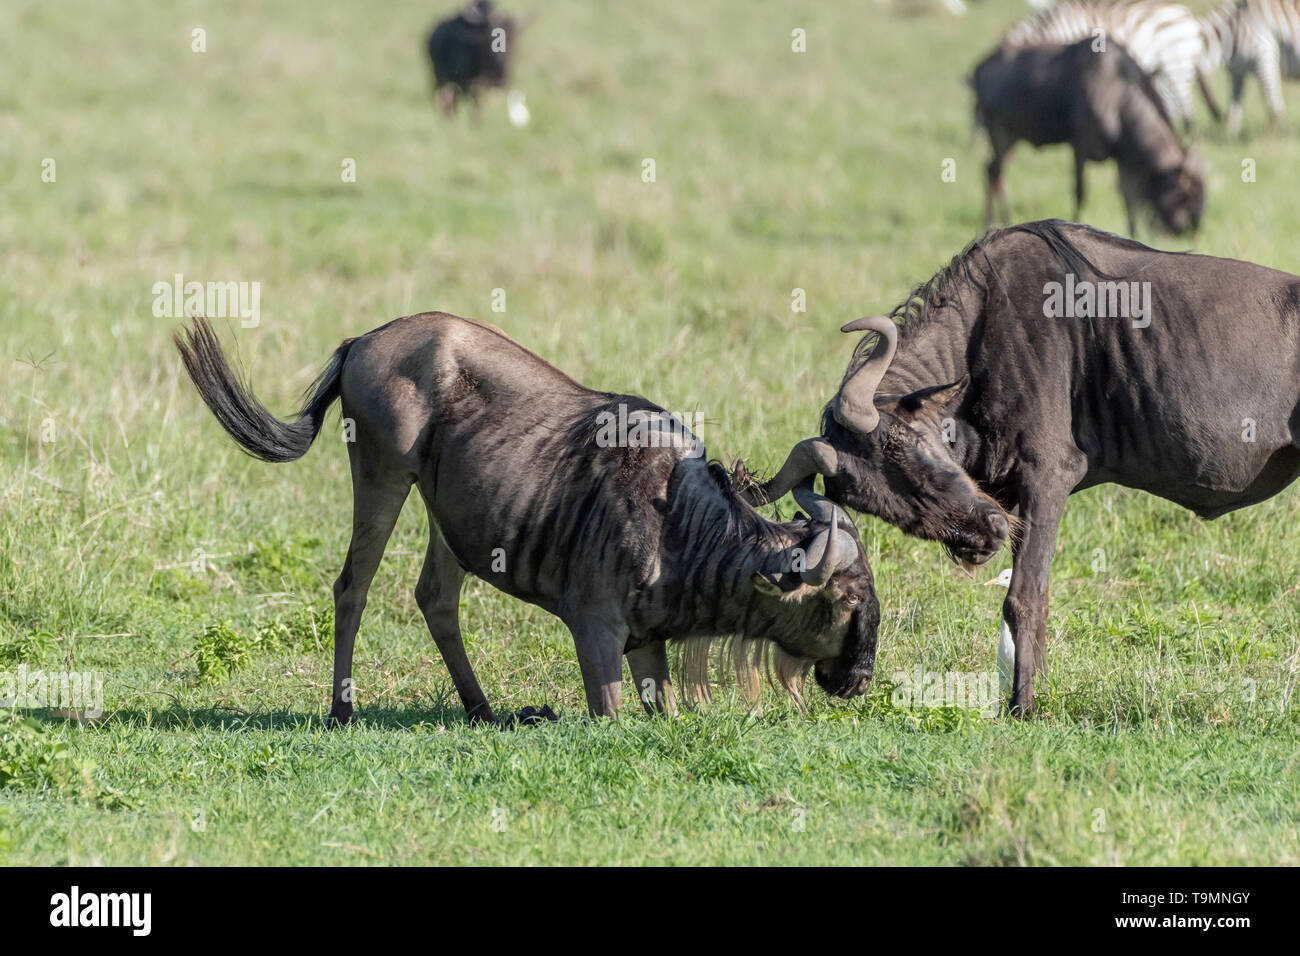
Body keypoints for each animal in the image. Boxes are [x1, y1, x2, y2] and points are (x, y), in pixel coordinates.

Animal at [1196, 0, 1300, 135]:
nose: (1218, 116)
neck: (1233, 33)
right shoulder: (1237, 73)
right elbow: (1234, 109)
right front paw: (1231, 136)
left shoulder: (1265, 58)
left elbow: (1273, 105)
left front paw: (1280, 134)